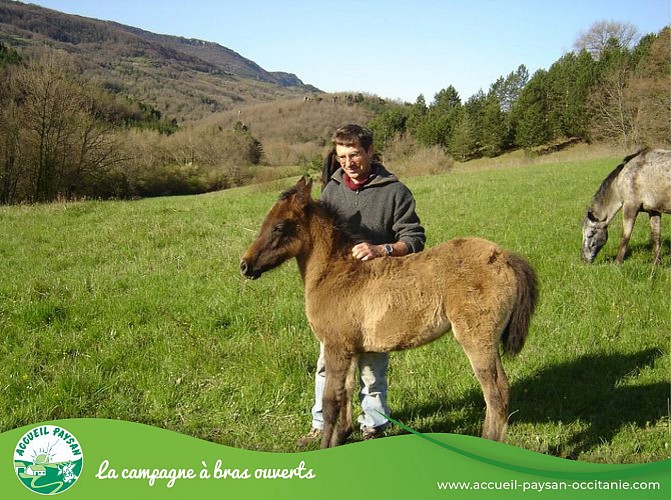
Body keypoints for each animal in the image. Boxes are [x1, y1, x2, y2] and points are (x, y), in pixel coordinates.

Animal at [239, 177, 540, 450]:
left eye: (279, 226)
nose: (245, 265)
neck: (336, 274)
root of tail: (504, 256)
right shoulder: (351, 349)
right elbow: (346, 393)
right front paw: (341, 438)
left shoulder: (335, 347)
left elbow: (330, 402)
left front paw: (325, 447)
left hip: (477, 338)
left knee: (496, 392)